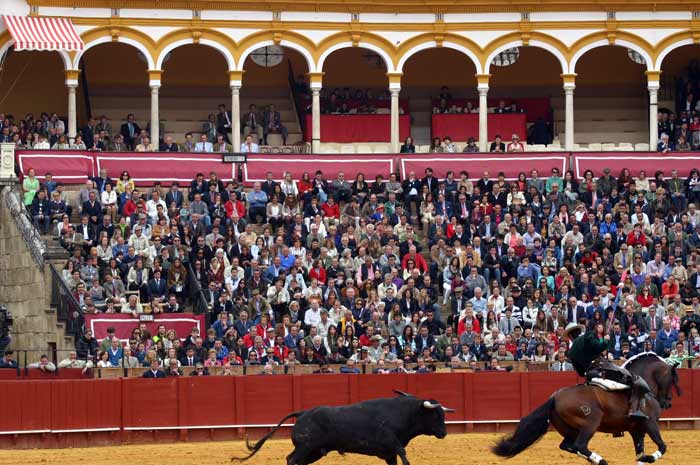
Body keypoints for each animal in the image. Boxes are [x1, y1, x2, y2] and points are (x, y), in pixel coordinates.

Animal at [234, 392, 454, 464]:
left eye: (443, 415)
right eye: (435, 415)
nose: (444, 433)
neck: (404, 413)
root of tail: (303, 413)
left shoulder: (389, 454)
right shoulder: (392, 442)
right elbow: (404, 455)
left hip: (315, 451)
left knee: (296, 461)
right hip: (305, 447)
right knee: (291, 459)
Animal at [492, 354, 680, 462]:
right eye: (672, 379)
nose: (668, 403)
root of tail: (554, 397)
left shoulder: (636, 430)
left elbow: (640, 453)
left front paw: (644, 457)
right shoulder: (651, 424)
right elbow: (662, 446)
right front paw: (649, 457)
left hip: (570, 430)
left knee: (569, 446)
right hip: (591, 423)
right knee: (580, 445)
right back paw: (601, 460)